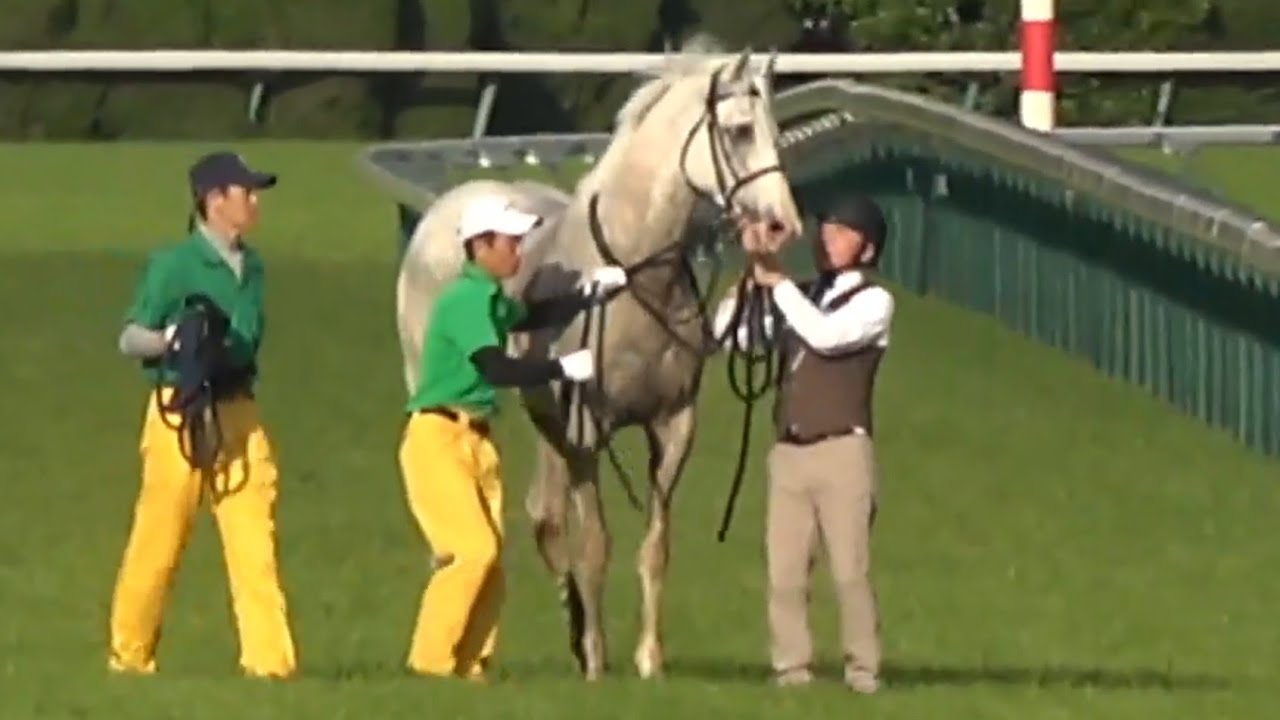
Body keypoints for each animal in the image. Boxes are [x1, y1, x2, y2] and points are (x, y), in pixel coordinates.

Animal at [395, 41, 802, 681]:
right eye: (739, 131)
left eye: (775, 130)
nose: (784, 223)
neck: (637, 277)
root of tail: (447, 210)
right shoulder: (588, 433)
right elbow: (597, 546)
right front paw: (594, 660)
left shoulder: (672, 426)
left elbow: (654, 547)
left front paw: (646, 660)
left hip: (546, 419)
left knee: (544, 516)